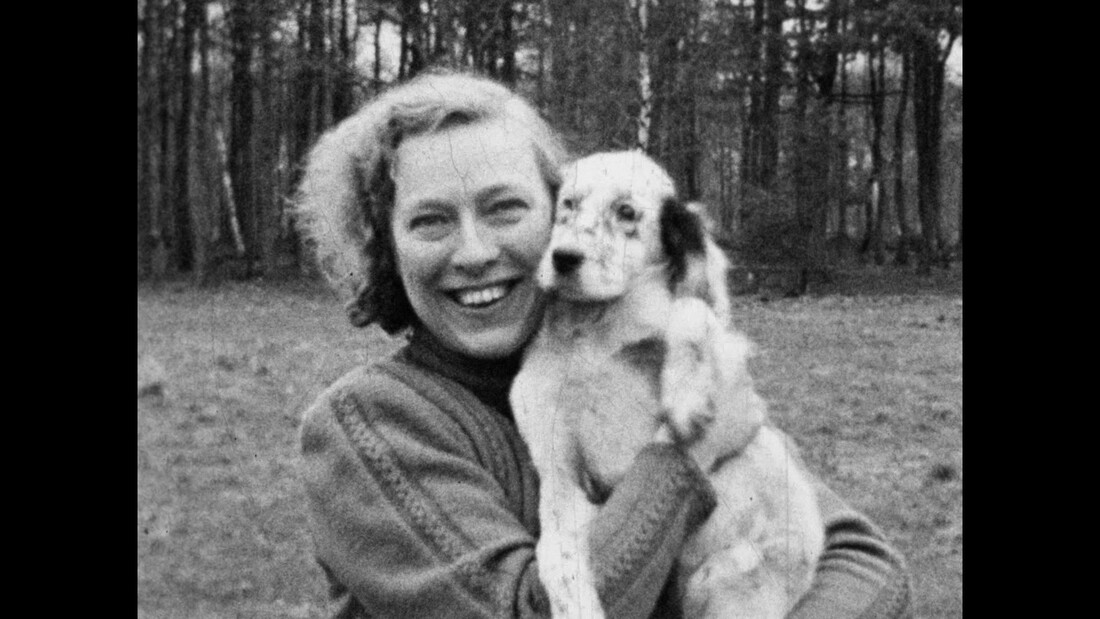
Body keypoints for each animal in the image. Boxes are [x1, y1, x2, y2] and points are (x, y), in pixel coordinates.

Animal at [509, 151, 823, 618]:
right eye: (567, 204)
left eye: (626, 212)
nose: (563, 258)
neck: (592, 331)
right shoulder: (558, 470)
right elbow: (556, 556)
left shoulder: (725, 341)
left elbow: (691, 309)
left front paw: (686, 399)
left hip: (727, 581)